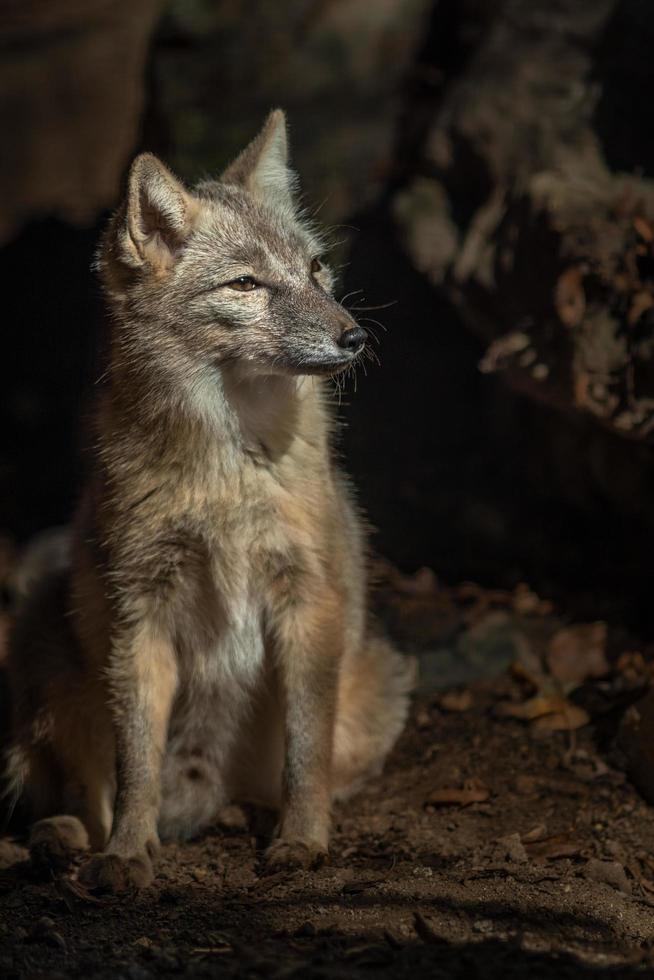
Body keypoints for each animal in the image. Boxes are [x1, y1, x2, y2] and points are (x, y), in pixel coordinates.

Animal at [3, 111, 416, 892]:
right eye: (246, 284)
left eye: (316, 269)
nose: (355, 336)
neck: (228, 475)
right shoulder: (139, 611)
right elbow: (135, 763)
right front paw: (127, 853)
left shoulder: (306, 600)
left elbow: (306, 750)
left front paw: (302, 839)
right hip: (42, 655)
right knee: (73, 792)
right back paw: (66, 839)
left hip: (375, 686)